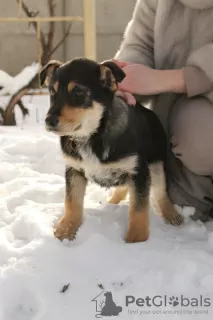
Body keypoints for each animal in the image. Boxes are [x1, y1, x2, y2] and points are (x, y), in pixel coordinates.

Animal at [39, 57, 183, 242]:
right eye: (52, 92)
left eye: (79, 94)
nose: (48, 121)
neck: (91, 137)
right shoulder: (74, 169)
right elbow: (72, 201)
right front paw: (65, 231)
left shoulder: (139, 171)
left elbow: (138, 208)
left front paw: (136, 241)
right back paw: (111, 203)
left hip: (156, 163)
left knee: (161, 192)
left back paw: (172, 215)